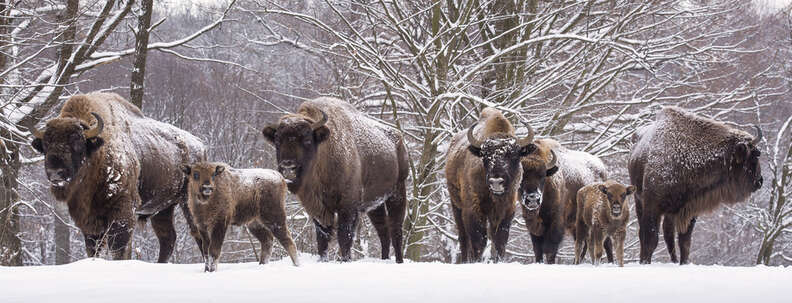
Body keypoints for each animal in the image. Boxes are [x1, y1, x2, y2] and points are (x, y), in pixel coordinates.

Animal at [29, 92, 206, 264]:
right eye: (45, 145)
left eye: (77, 142)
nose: (55, 173)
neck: (97, 152)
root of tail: (200, 145)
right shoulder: (89, 221)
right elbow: (94, 249)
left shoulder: (122, 210)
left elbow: (118, 249)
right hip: (163, 208)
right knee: (168, 238)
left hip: (188, 202)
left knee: (199, 233)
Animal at [264, 98, 412, 264]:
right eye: (277, 140)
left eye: (307, 140)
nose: (288, 167)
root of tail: (399, 139)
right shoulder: (317, 209)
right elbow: (322, 238)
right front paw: (323, 260)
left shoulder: (348, 206)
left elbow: (344, 236)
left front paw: (345, 260)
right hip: (375, 203)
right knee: (383, 231)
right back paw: (384, 258)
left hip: (398, 191)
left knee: (395, 228)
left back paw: (399, 261)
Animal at [442, 107, 536, 264]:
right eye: (485, 156)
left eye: (514, 155)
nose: (496, 181)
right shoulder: (473, 210)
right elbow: (479, 240)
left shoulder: (506, 212)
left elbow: (499, 241)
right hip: (456, 206)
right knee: (463, 237)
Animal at [628, 108, 764, 264]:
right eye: (755, 155)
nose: (760, 181)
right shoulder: (652, 206)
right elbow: (651, 238)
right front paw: (645, 262)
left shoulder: (689, 210)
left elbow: (685, 242)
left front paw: (683, 263)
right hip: (639, 200)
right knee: (645, 233)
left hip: (670, 212)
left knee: (669, 236)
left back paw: (674, 261)